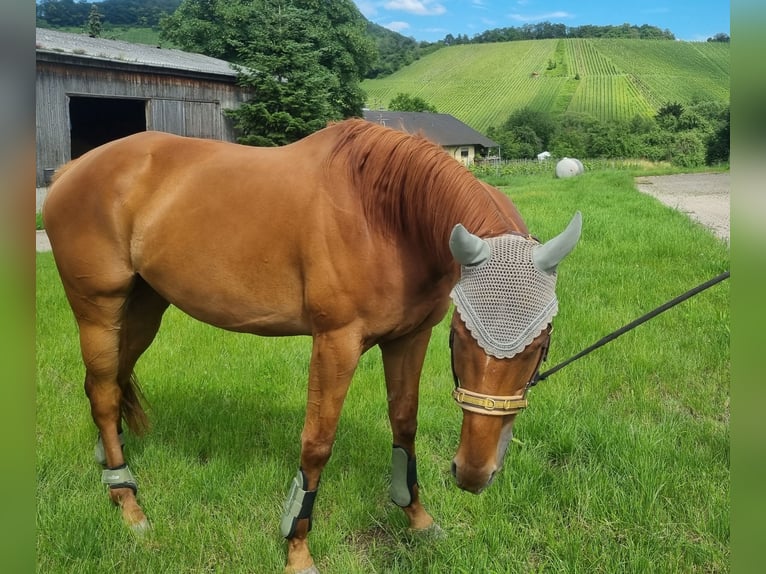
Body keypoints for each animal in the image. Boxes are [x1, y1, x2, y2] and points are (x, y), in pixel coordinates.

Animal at [43, 118, 584, 574]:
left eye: (543, 343)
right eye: (460, 336)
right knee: (104, 391)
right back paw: (128, 502)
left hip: (142, 309)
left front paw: (418, 518)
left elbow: (404, 425)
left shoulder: (408, 339)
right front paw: (297, 550)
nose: (473, 473)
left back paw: (110, 464)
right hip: (98, 309)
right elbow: (317, 443)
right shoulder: (336, 343)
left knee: (110, 382)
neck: (384, 216)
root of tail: (72, 169)